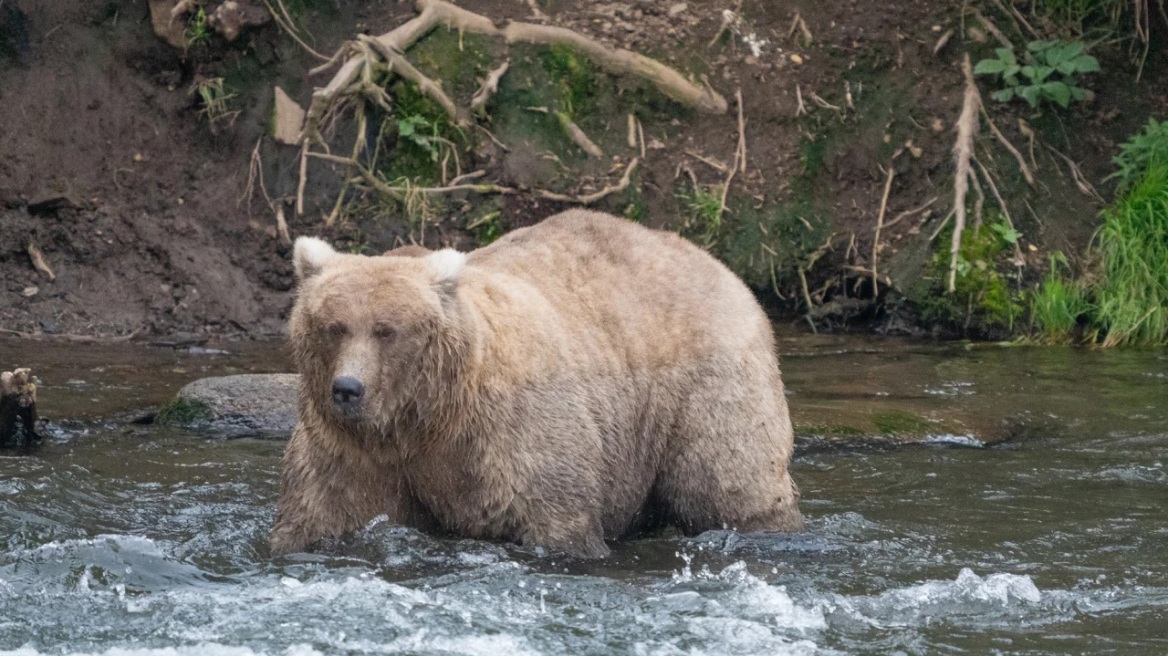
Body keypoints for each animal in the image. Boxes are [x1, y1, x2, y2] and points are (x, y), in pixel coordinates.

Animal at [269, 206, 803, 553]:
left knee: (728, 482)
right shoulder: (353, 451)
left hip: (705, 384)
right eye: (334, 326)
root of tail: (715, 262)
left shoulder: (510, 433)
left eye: (386, 330)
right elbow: (322, 512)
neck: (425, 417)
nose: (348, 389)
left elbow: (553, 515)